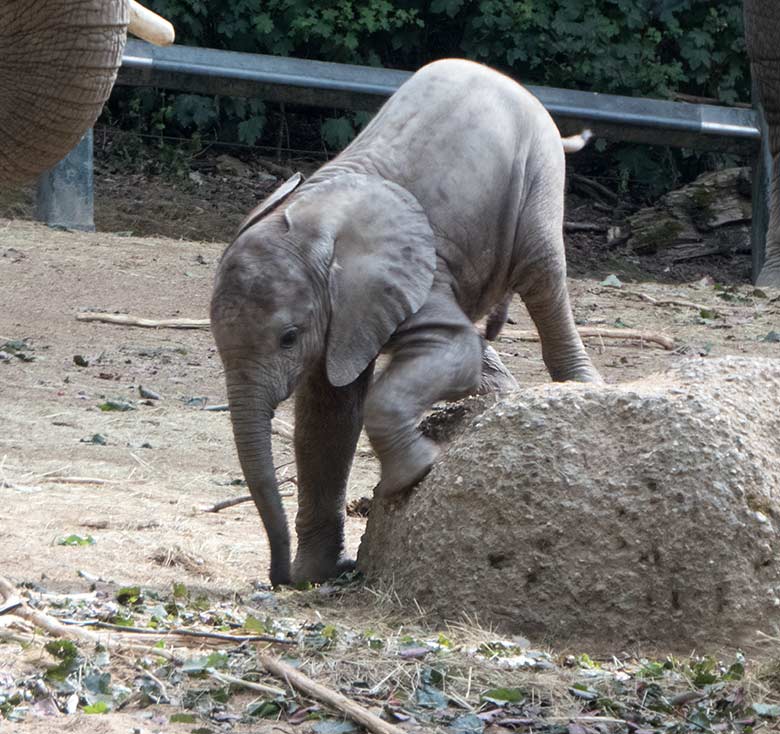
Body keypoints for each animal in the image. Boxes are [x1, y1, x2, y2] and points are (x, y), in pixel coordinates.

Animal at [212, 57, 604, 588]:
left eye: (289, 338)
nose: (278, 578)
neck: (312, 222)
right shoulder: (344, 312)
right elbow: (327, 414)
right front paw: (319, 574)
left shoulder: (409, 276)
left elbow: (448, 354)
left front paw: (415, 474)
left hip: (539, 170)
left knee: (542, 273)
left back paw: (582, 385)